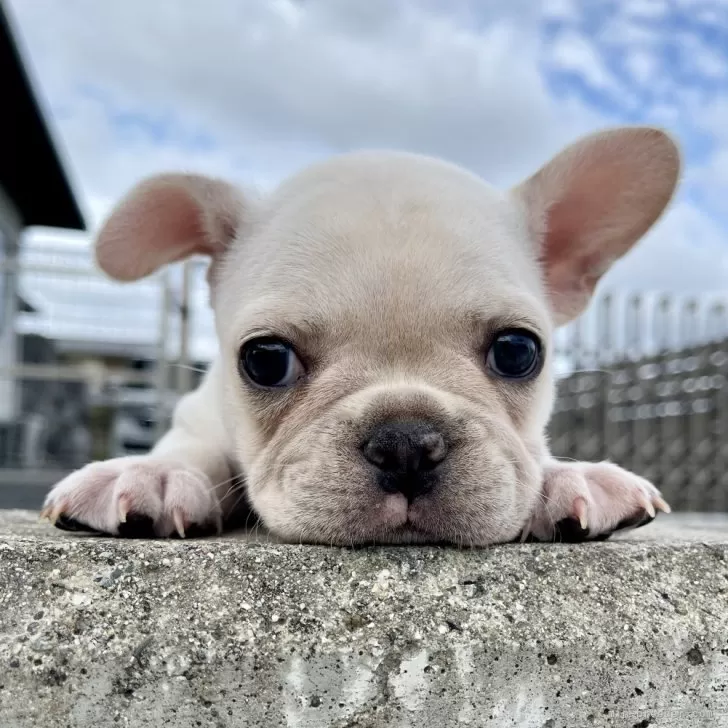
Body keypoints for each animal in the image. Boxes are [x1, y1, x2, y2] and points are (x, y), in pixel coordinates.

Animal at [41, 126, 676, 544]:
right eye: (265, 360)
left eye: (518, 352)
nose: (406, 442)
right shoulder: (199, 415)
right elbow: (189, 446)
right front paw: (154, 473)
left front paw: (568, 473)